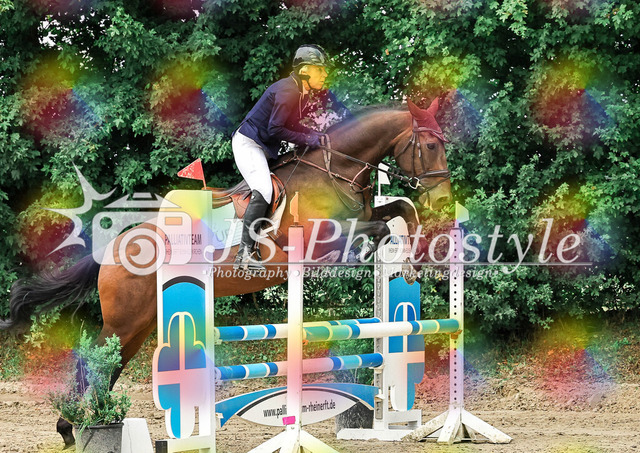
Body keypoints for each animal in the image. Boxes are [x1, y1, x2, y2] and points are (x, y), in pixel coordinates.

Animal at [1, 98, 451, 447]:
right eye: (430, 145)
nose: (445, 199)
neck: (332, 169)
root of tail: (113, 247)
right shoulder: (322, 238)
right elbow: (376, 225)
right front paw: (391, 254)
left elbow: (400, 209)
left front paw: (411, 260)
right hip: (124, 320)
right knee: (94, 361)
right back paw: (78, 425)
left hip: (140, 325)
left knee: (109, 365)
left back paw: (83, 423)